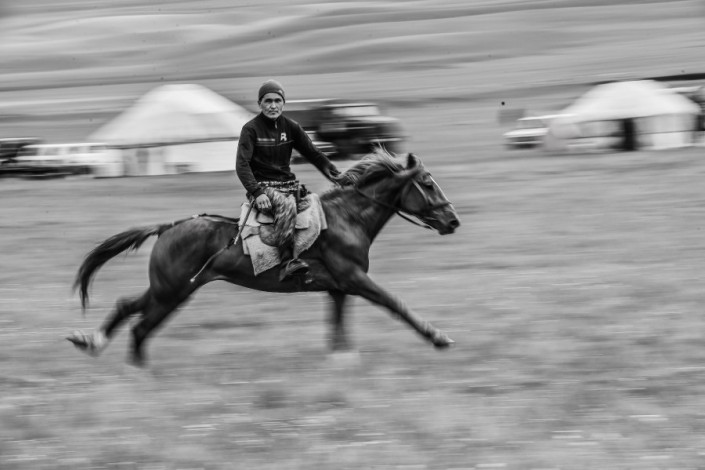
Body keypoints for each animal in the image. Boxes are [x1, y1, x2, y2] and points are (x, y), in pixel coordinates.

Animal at [68, 151, 461, 366]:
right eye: (428, 183)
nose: (452, 221)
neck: (347, 218)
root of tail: (168, 228)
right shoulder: (355, 280)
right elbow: (396, 304)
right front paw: (438, 337)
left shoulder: (338, 288)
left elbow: (336, 327)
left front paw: (342, 360)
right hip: (173, 292)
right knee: (140, 325)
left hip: (170, 289)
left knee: (128, 308)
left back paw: (94, 343)